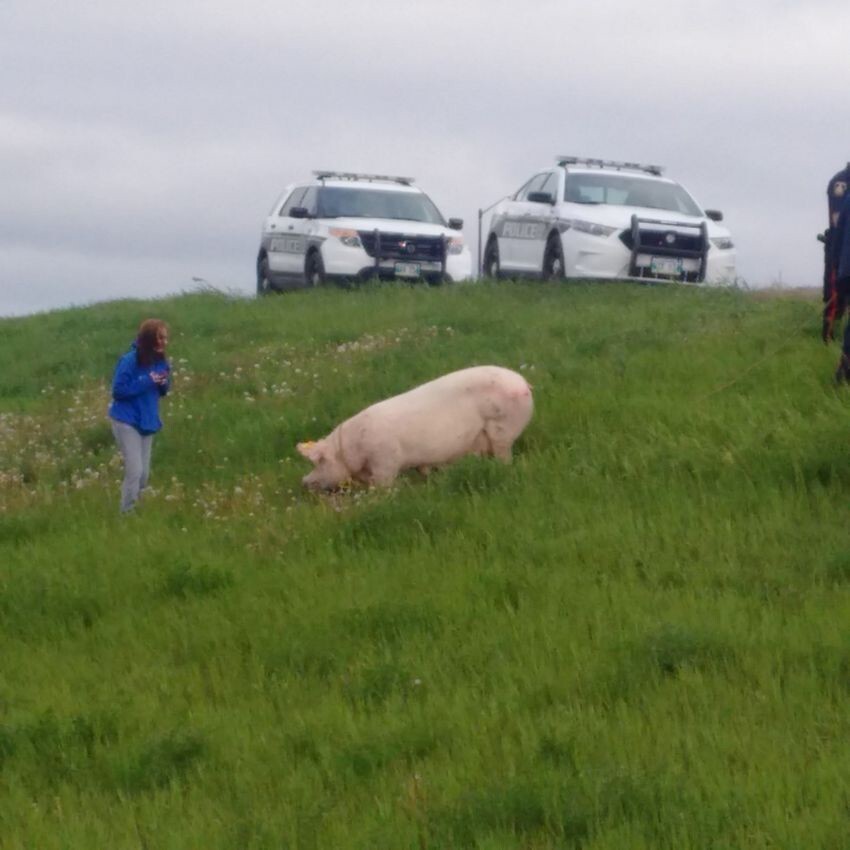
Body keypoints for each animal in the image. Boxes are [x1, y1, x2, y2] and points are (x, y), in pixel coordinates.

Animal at [294, 364, 528, 490]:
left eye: (319, 462)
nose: (303, 481)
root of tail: (524, 384)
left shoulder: (385, 458)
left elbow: (383, 482)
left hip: (502, 428)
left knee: (504, 453)